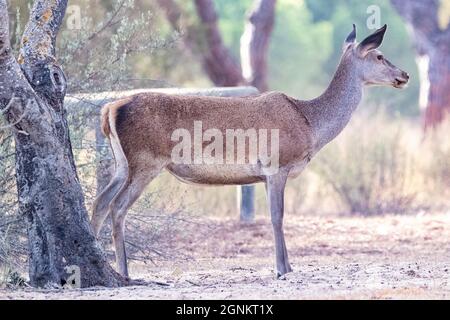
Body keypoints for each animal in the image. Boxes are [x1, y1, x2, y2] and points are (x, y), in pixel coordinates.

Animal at [90, 25, 408, 278]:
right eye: (379, 56)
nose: (404, 74)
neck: (310, 124)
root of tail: (109, 109)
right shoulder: (277, 164)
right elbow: (277, 216)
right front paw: (283, 269)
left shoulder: (264, 175)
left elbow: (275, 216)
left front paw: (286, 266)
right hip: (146, 161)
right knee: (117, 207)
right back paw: (124, 271)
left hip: (123, 163)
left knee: (99, 202)